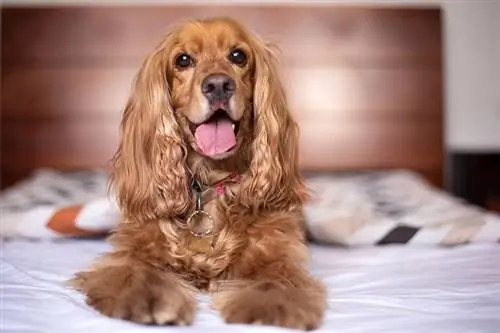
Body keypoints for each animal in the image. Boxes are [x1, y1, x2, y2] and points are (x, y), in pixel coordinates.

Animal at [71, 16, 328, 330]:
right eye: (183, 60)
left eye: (238, 56)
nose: (218, 85)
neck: (210, 183)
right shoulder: (132, 249)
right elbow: (137, 271)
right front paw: (149, 297)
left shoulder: (277, 253)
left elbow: (276, 280)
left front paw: (270, 307)